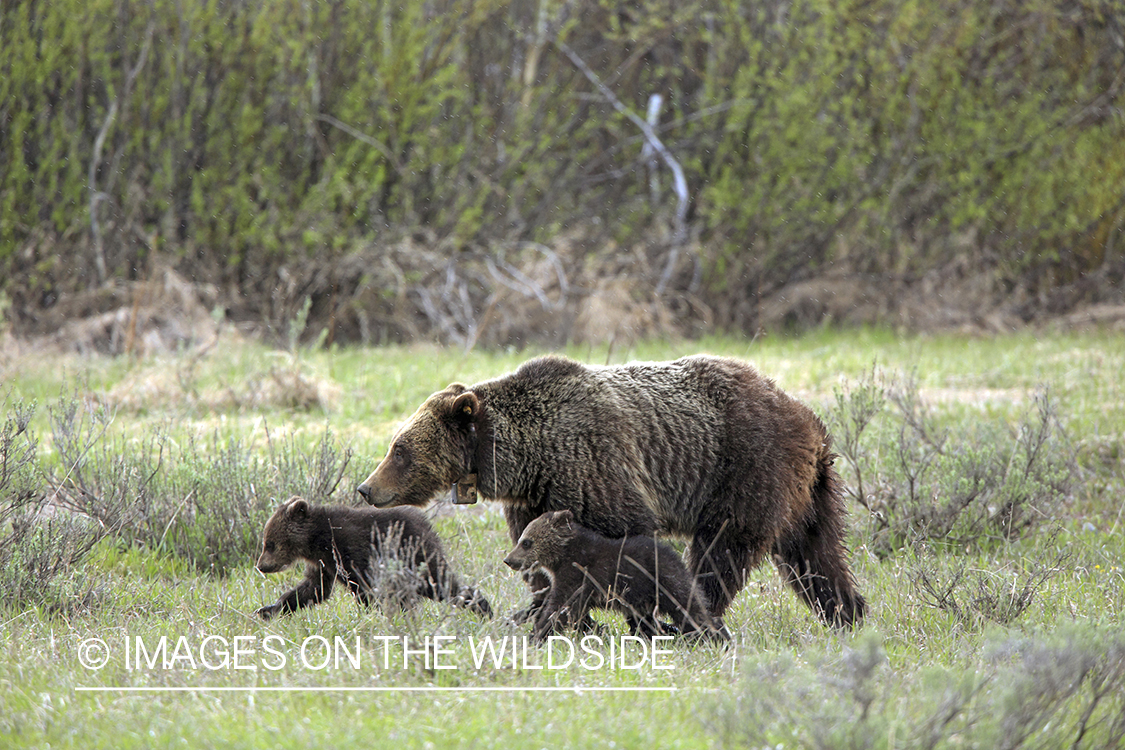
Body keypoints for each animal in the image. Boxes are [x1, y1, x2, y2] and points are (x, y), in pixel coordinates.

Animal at [254, 496, 491, 619]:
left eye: (270, 543)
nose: (261, 566)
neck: (316, 540)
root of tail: (428, 523)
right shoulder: (323, 563)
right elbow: (314, 589)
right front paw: (269, 609)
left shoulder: (350, 548)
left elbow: (364, 586)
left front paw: (373, 613)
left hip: (413, 554)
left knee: (440, 583)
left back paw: (483, 608)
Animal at [356, 354, 866, 628]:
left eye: (400, 449)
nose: (365, 488)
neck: (528, 457)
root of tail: (807, 417)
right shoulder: (535, 498)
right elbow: (538, 557)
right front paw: (541, 609)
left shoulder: (597, 469)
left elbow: (628, 541)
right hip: (810, 491)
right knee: (815, 554)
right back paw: (848, 614)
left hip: (747, 468)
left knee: (723, 551)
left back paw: (696, 615)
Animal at [503, 509, 729, 644]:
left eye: (526, 542)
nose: (508, 560)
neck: (565, 556)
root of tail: (677, 556)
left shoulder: (577, 576)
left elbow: (559, 608)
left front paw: (537, 635)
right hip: (642, 598)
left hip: (664, 581)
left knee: (690, 608)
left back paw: (714, 636)